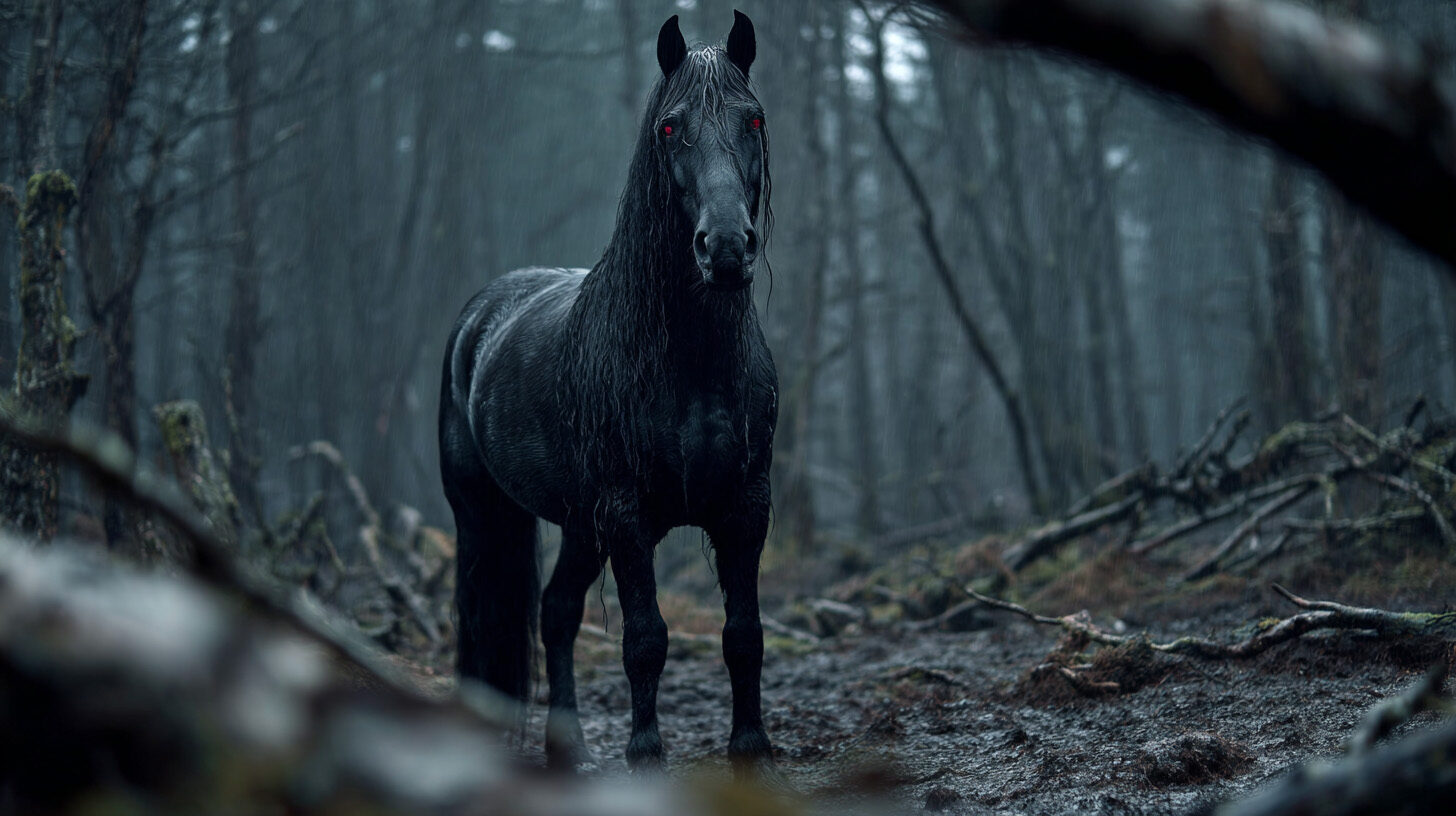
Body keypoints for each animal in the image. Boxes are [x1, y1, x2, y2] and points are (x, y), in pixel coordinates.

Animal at [438, 11, 777, 776]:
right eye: (671, 127)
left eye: (754, 119)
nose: (726, 249)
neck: (688, 362)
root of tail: (481, 314)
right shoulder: (627, 515)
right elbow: (645, 639)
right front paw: (646, 752)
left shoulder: (745, 508)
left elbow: (743, 633)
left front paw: (751, 748)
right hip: (483, 515)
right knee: (483, 615)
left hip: (576, 524)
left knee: (556, 612)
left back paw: (568, 748)